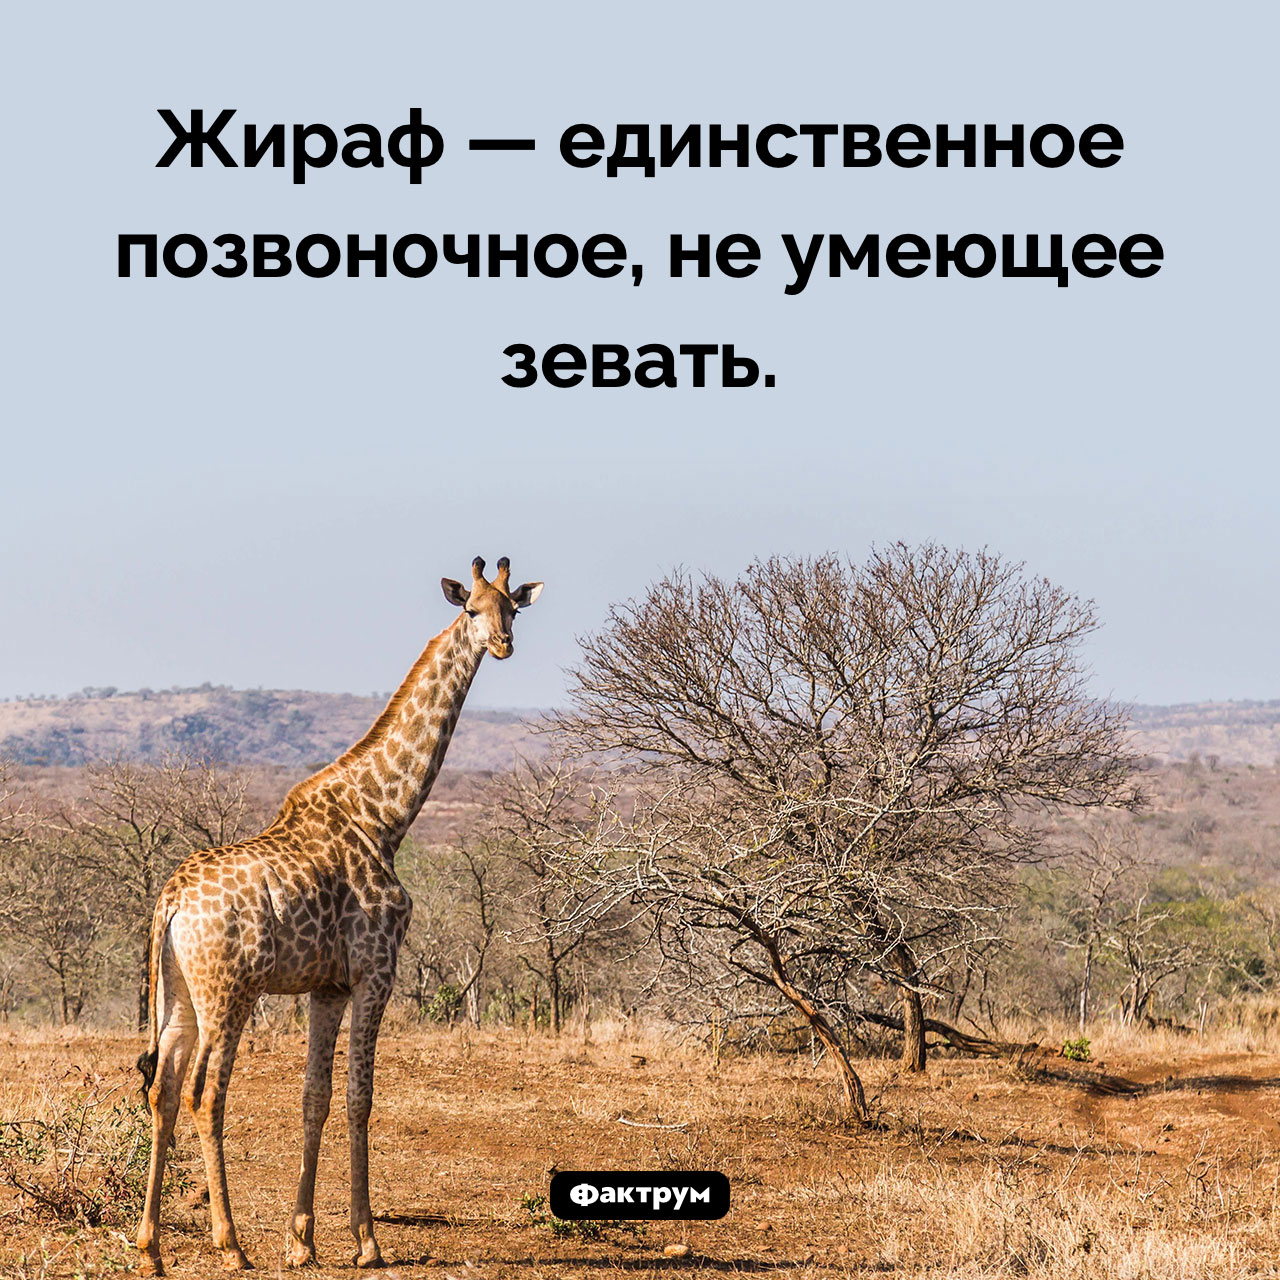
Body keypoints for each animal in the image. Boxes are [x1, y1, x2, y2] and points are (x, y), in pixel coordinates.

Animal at [134, 556, 543, 1274]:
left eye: (513, 608)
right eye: (471, 610)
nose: (502, 644)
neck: (387, 818)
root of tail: (172, 898)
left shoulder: (325, 986)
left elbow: (315, 1097)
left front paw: (302, 1240)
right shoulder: (376, 971)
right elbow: (361, 1097)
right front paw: (366, 1241)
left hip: (179, 993)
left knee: (163, 1089)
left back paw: (150, 1247)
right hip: (230, 991)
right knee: (205, 1093)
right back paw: (230, 1242)